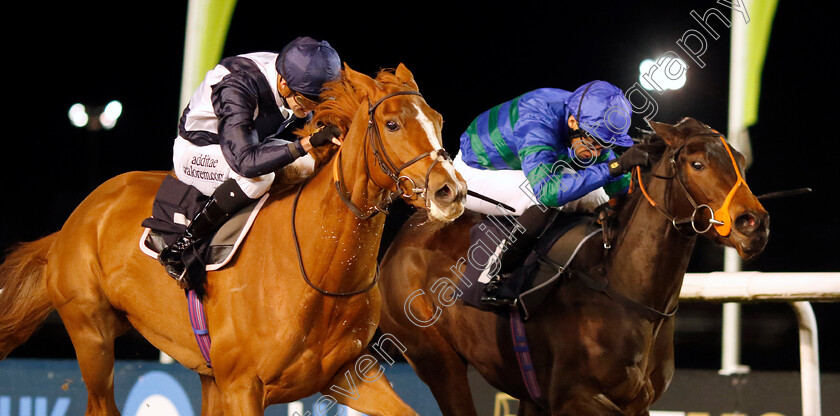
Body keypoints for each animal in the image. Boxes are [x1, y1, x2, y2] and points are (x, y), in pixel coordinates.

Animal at [0, 63, 466, 414]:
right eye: (392, 124)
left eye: (438, 121)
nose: (451, 190)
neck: (320, 271)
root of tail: (74, 222)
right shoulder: (244, 386)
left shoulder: (349, 374)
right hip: (91, 336)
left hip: (204, 376)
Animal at [378, 118, 772, 416]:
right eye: (697, 163)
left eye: (740, 160)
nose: (754, 224)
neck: (620, 287)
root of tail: (408, 232)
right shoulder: (572, 397)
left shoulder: (635, 402)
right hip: (438, 362)